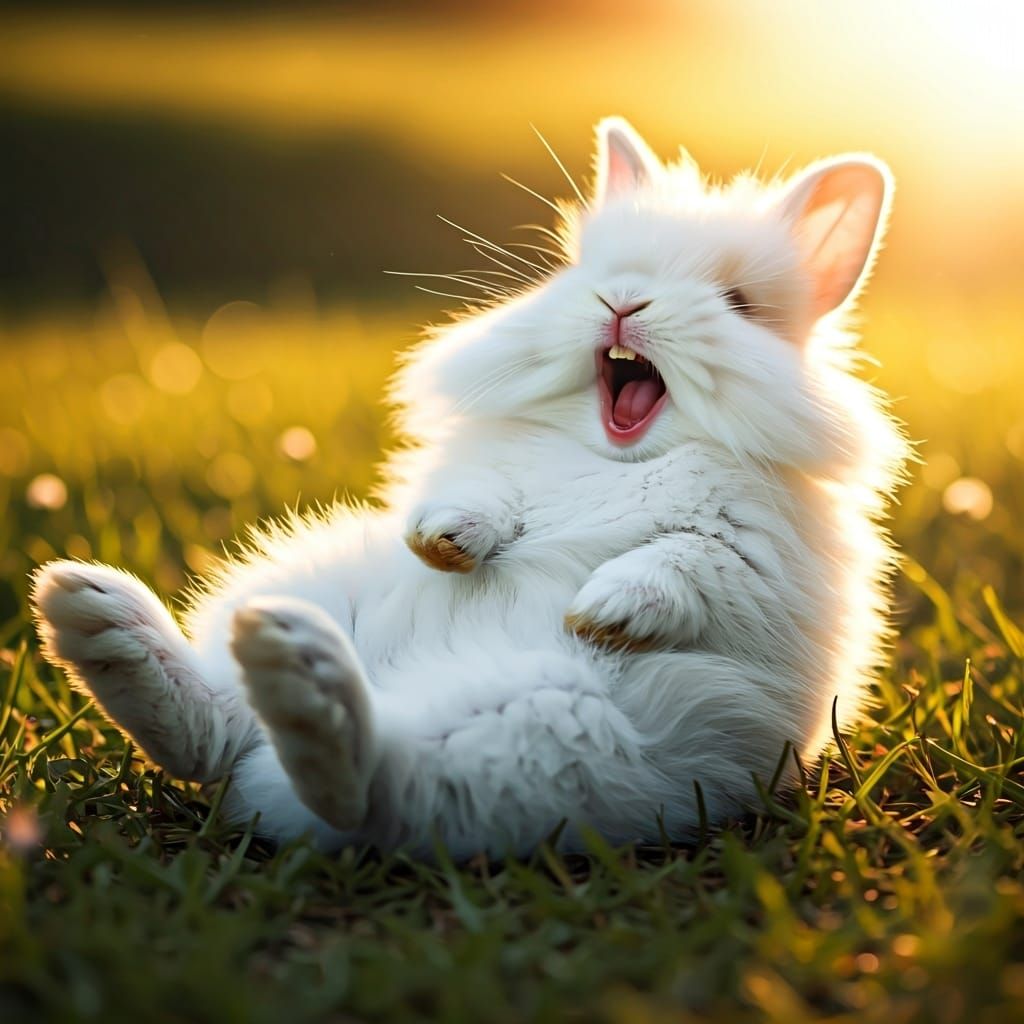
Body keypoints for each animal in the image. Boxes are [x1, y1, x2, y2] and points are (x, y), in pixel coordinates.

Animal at [30, 117, 907, 859]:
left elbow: (687, 562)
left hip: (548, 724)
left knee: (367, 788)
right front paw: (447, 542)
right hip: (324, 578)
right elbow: (480, 493)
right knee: (220, 733)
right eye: (588, 273)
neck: (615, 459)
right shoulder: (484, 468)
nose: (623, 303)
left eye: (739, 303)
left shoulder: (762, 558)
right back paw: (96, 614)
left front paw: (606, 611)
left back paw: (296, 676)